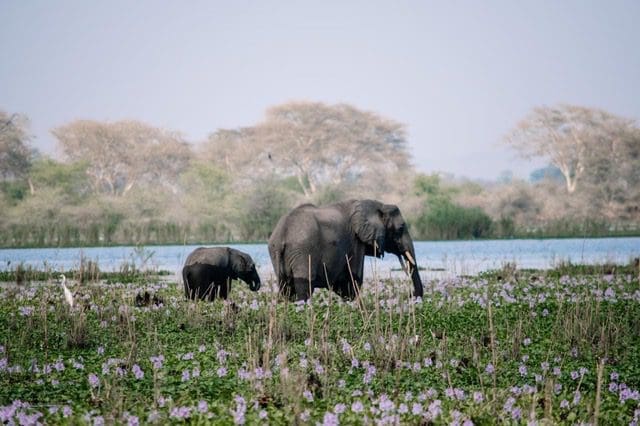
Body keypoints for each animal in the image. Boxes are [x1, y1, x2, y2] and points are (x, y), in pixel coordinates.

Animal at [268, 199, 423, 301]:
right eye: (401, 228)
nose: (411, 296)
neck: (377, 205)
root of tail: (282, 234)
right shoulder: (355, 241)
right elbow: (353, 280)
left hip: (278, 253)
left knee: (286, 288)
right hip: (303, 251)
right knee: (304, 287)